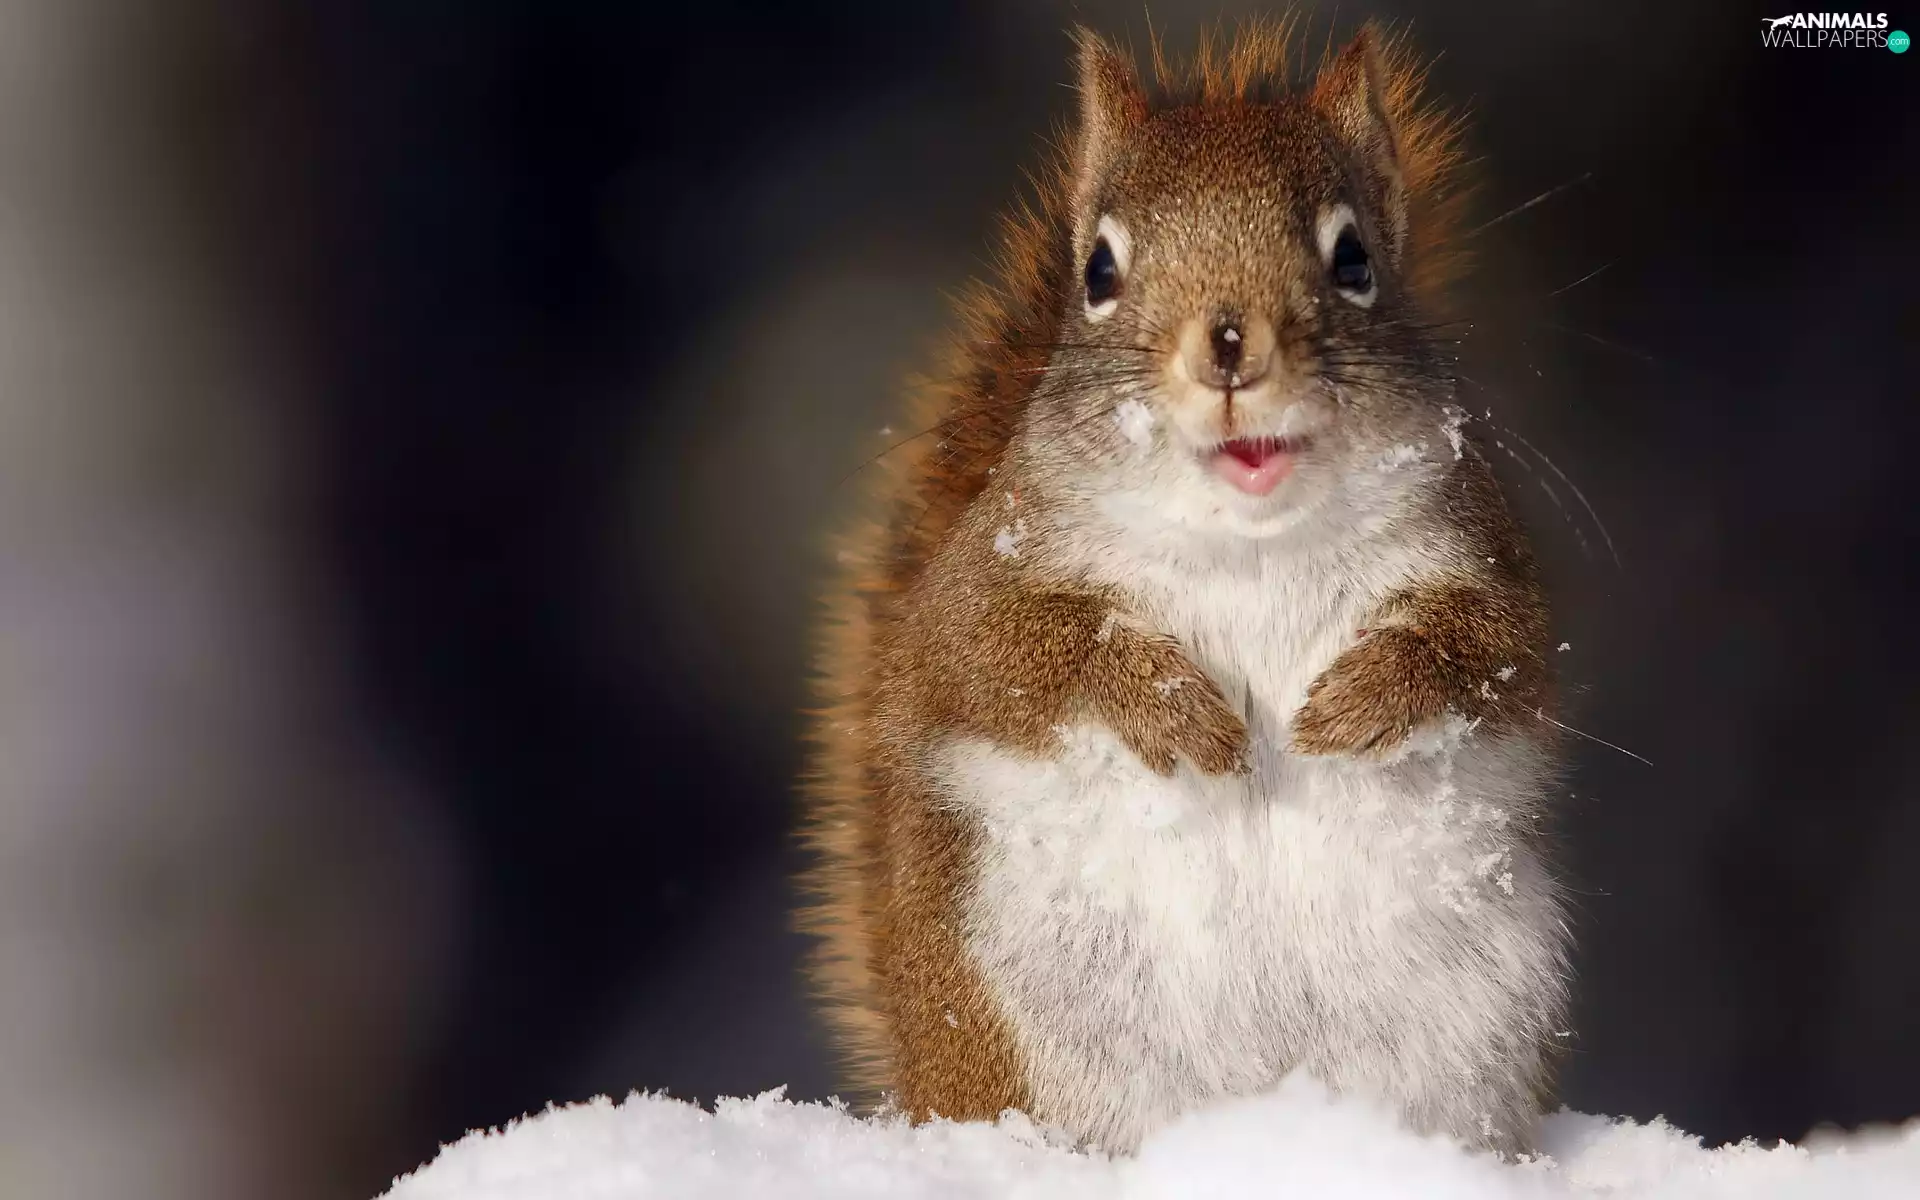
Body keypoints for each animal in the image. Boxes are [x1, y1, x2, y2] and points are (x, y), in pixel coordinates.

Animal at [799, 19, 1570, 1158]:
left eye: (1354, 259)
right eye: (1097, 270)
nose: (1231, 347)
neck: (1246, 543)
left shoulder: (1480, 555)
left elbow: (1491, 653)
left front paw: (1364, 695)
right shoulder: (980, 589)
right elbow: (1008, 661)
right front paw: (1173, 709)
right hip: (1018, 1016)